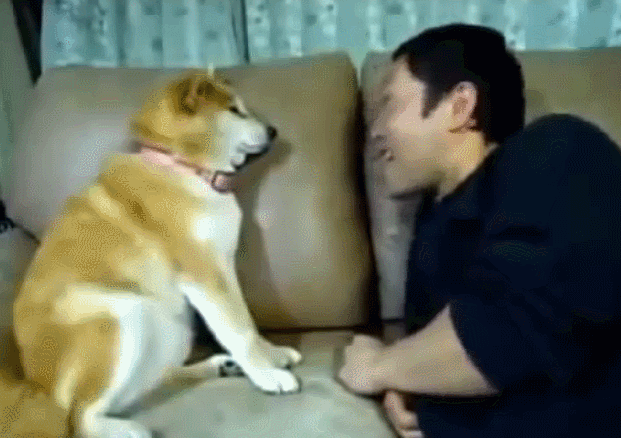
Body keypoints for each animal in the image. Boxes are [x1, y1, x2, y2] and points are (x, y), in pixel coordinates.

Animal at [8, 69, 302, 437]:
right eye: (234, 110)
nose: (274, 130)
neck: (182, 167)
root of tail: (38, 386)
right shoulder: (204, 272)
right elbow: (238, 330)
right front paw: (268, 375)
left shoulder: (222, 268)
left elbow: (245, 320)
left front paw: (272, 355)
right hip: (119, 317)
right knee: (79, 417)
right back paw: (125, 429)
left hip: (171, 328)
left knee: (154, 381)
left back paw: (218, 366)